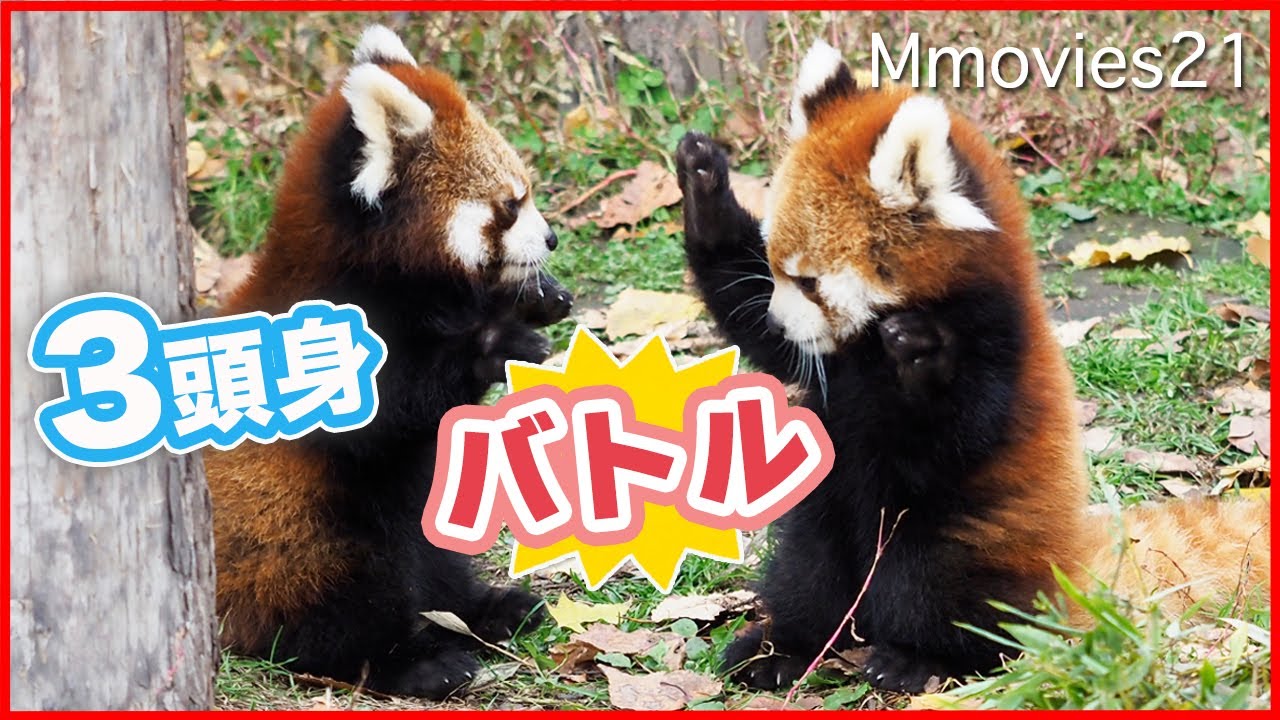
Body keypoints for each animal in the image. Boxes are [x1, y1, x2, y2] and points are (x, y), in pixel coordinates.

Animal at [204, 26, 571, 699]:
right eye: (511, 205)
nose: (553, 239)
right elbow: (387, 410)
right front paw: (498, 341)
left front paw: (532, 299)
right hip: (296, 532)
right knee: (336, 601)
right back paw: (417, 660)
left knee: (432, 555)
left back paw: (486, 608)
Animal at [675, 40, 1270, 693]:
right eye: (777, 268)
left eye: (809, 281)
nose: (782, 320)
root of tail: (1065, 571)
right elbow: (755, 322)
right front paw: (702, 179)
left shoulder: (999, 340)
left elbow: (963, 422)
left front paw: (918, 350)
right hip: (823, 511)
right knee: (811, 573)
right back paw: (781, 647)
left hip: (970, 535)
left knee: (936, 586)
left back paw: (920, 658)